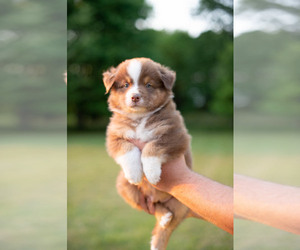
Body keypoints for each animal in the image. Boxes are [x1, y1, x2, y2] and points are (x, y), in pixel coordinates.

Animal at [102, 57, 192, 250]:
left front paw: (151, 174)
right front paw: (136, 174)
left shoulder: (174, 134)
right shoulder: (114, 136)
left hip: (182, 200)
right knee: (152, 208)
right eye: (125, 85)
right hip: (124, 187)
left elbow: (152, 147)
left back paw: (165, 218)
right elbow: (128, 149)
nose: (135, 97)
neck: (140, 118)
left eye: (148, 85)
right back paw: (163, 214)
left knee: (164, 222)